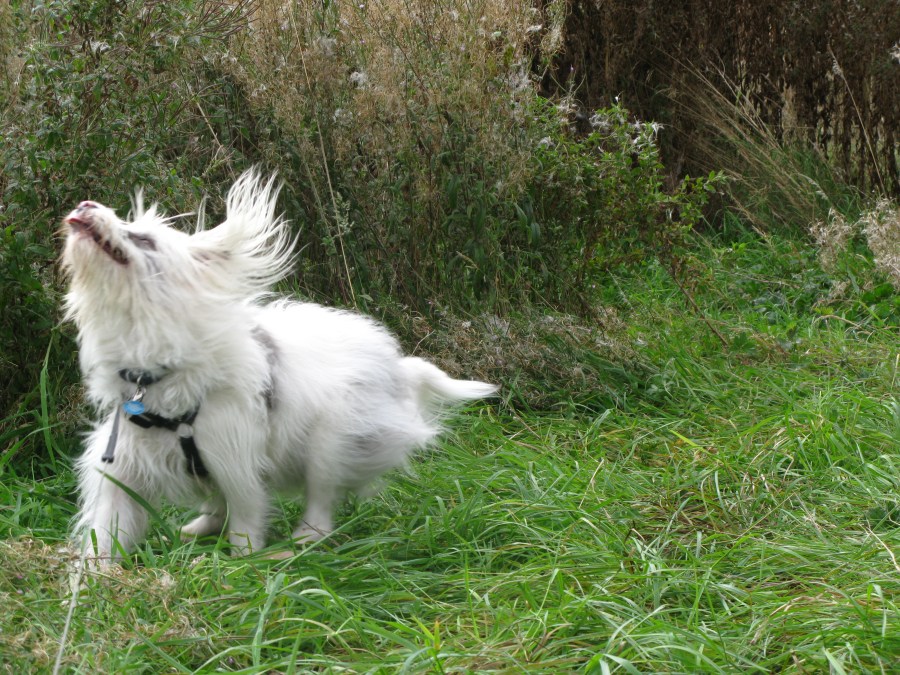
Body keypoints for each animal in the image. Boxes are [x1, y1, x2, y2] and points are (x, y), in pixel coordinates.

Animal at [62, 170, 496, 559]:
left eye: (142, 238)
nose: (85, 204)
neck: (153, 374)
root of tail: (399, 367)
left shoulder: (237, 462)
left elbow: (245, 524)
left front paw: (243, 568)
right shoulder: (122, 469)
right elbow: (106, 533)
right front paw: (93, 582)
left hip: (333, 441)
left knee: (321, 505)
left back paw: (299, 544)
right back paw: (201, 527)